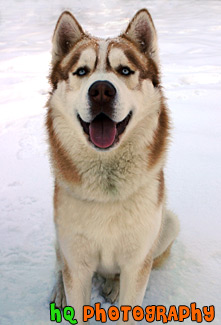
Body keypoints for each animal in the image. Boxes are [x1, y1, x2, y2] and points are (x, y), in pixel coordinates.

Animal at [46, 8, 180, 322]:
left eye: (125, 70)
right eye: (82, 71)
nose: (101, 91)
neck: (107, 188)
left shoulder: (137, 261)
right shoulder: (77, 263)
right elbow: (73, 287)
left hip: (167, 225)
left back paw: (113, 285)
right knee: (60, 265)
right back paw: (59, 291)